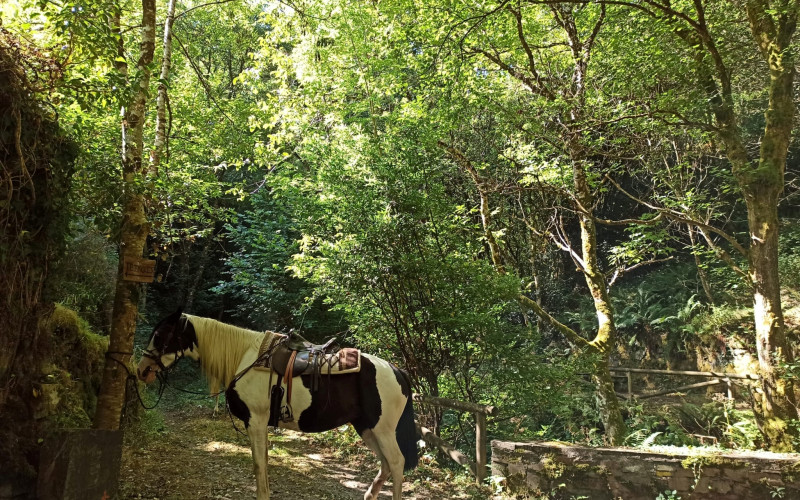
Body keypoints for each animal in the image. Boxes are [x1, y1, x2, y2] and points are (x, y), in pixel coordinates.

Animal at [136, 309, 418, 500]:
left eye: (160, 335)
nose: (142, 370)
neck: (244, 357)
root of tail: (398, 371)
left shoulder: (255, 422)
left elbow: (259, 464)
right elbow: (263, 462)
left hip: (383, 430)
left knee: (396, 462)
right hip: (367, 428)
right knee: (385, 464)